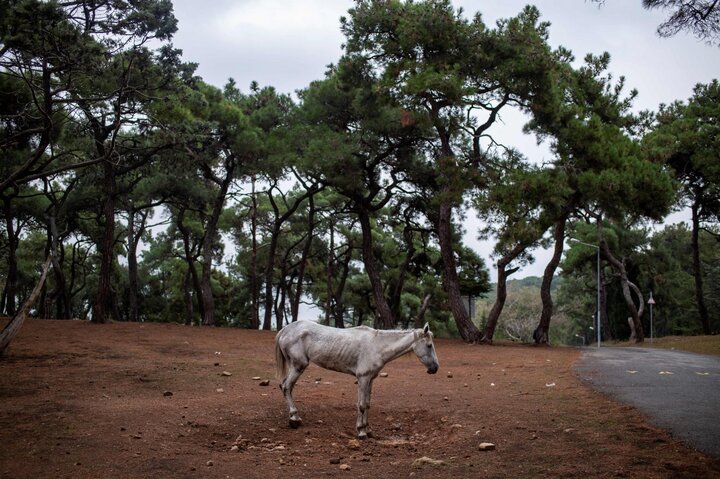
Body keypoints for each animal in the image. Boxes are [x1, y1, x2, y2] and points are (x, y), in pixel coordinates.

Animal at [276, 320, 438, 440]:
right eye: (429, 346)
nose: (435, 368)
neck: (376, 346)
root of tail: (285, 329)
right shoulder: (363, 378)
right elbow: (361, 405)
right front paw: (361, 432)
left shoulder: (370, 379)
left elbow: (367, 404)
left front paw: (368, 430)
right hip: (298, 366)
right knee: (286, 387)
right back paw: (294, 419)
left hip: (294, 366)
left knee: (287, 387)